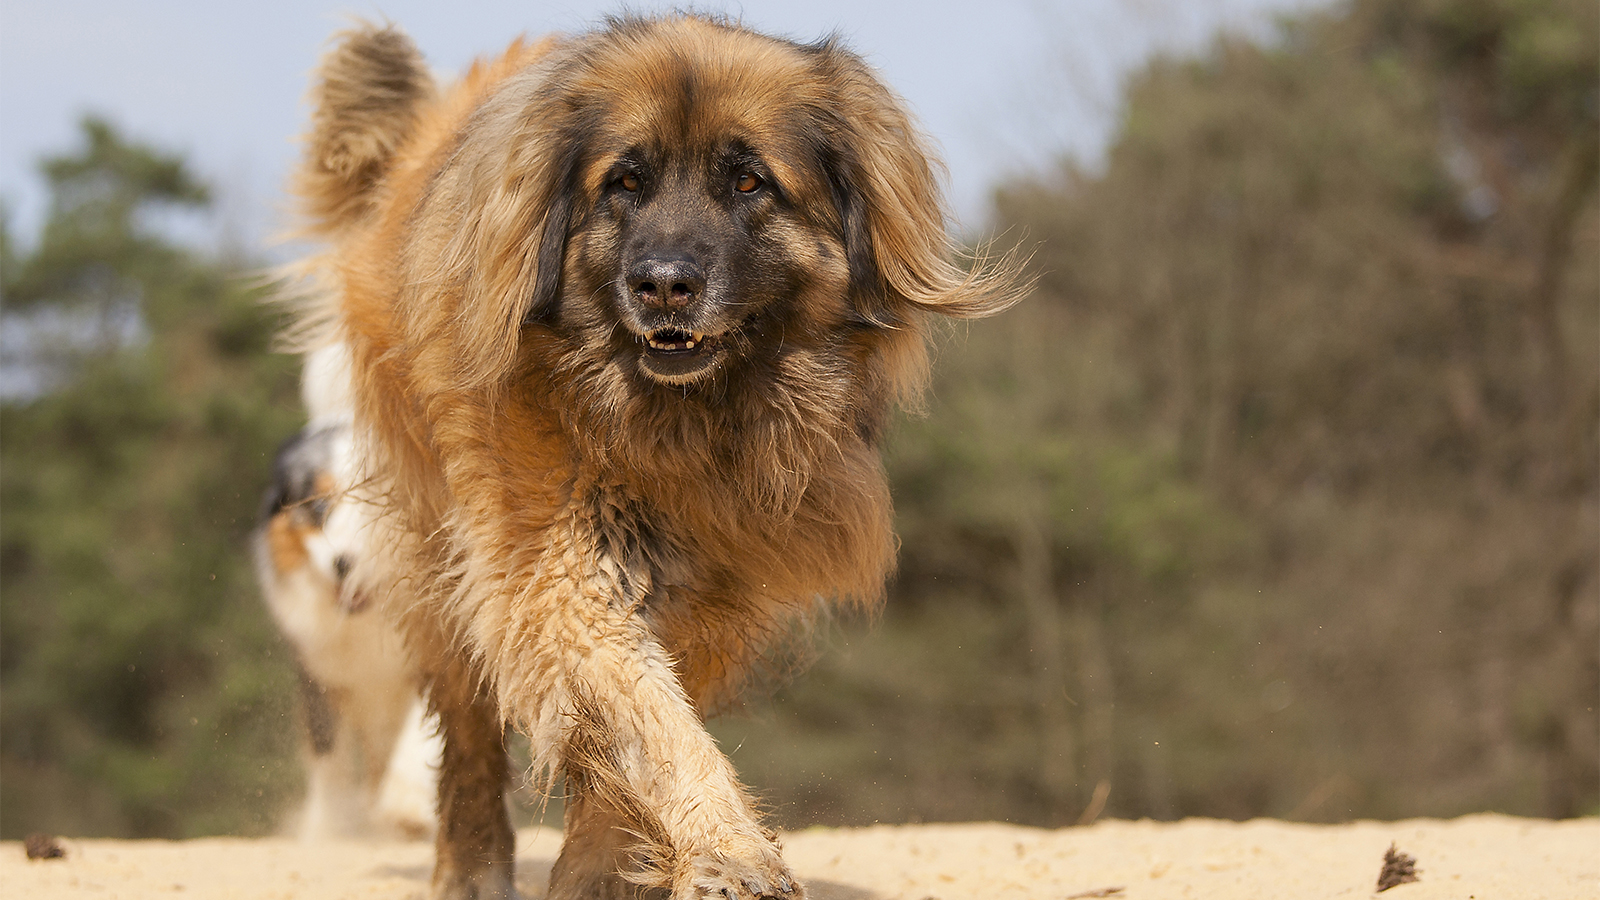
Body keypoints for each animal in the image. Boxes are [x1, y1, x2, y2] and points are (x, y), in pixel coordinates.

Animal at [288, 14, 1024, 896]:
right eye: (626, 183)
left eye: (749, 183)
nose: (663, 284)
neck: (683, 428)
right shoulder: (562, 570)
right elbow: (652, 719)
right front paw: (729, 852)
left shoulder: (721, 595)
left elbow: (639, 736)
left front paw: (604, 864)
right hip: (435, 539)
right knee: (465, 723)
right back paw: (470, 863)